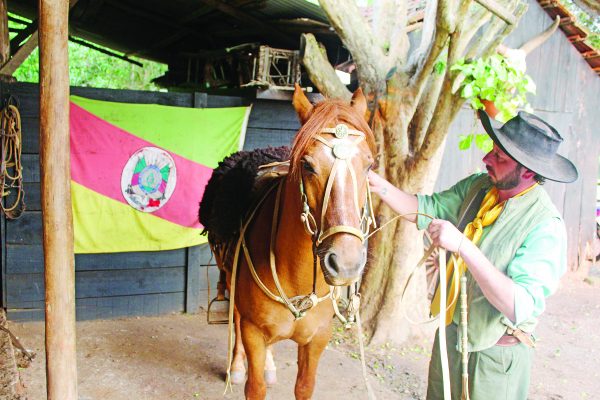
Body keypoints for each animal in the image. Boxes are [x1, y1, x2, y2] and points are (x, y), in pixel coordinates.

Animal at [206, 86, 376, 398]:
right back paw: (236, 367)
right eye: (308, 165)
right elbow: (255, 386)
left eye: (369, 165)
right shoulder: (253, 332)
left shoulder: (318, 338)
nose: (345, 264)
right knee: (235, 316)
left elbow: (304, 386)